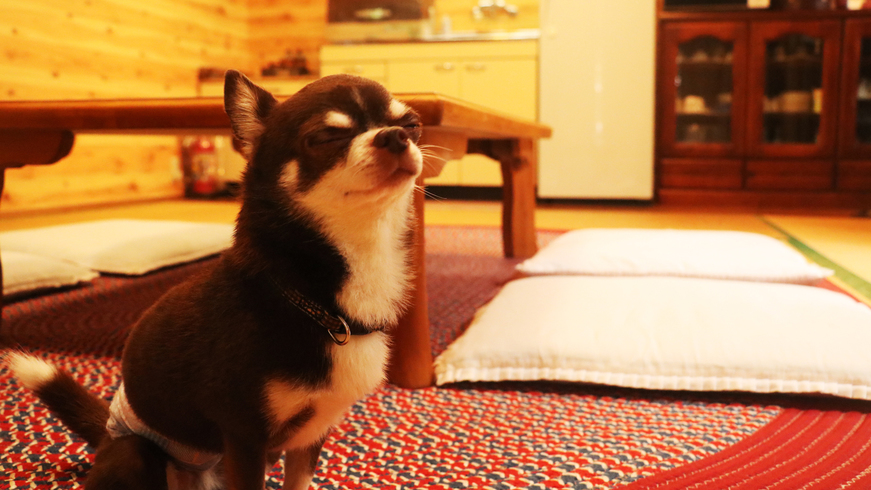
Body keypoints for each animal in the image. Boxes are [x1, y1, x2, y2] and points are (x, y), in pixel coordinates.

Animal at [6, 71, 426, 488]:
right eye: (325, 138)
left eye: (412, 125)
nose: (395, 136)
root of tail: (108, 433)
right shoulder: (246, 439)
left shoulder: (310, 434)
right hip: (137, 453)